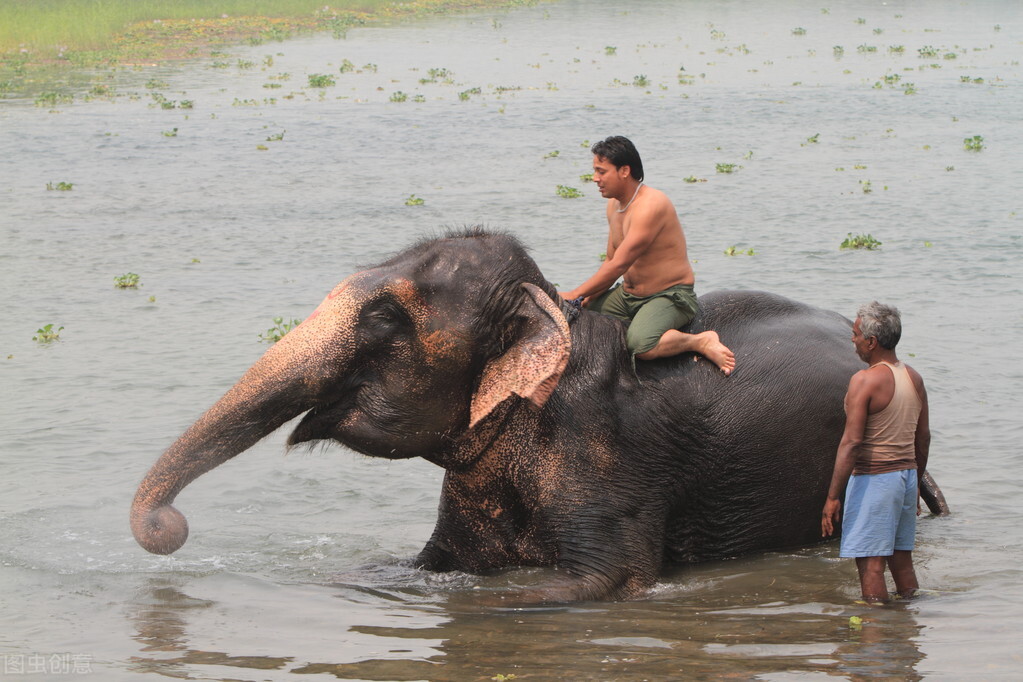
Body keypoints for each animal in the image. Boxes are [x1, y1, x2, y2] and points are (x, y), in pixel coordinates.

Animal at [129, 228, 949, 601]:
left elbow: (594, 585)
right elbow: (411, 568)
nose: (168, 527)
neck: (553, 316)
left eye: (384, 321)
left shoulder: (608, 459)